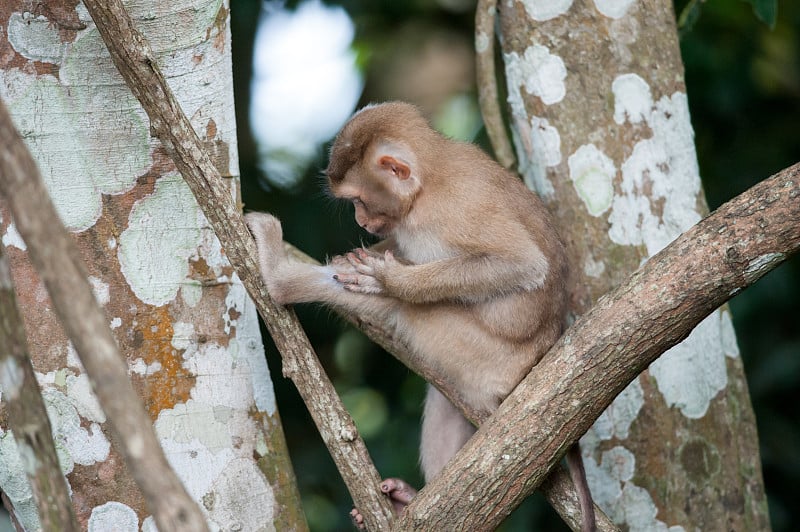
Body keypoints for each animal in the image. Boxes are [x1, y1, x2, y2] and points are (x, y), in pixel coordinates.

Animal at [244, 102, 592, 528]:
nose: (360, 220)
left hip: (487, 358)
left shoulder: (454, 209)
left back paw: (279, 279)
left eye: (358, 198)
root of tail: (541, 353)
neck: (428, 181)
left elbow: (521, 264)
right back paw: (408, 502)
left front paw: (390, 279)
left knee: (406, 310)